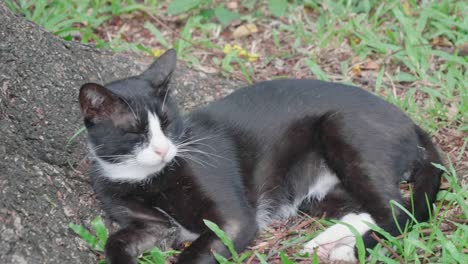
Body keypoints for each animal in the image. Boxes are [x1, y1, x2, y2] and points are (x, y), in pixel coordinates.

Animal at [78, 50, 440, 264]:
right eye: (135, 132)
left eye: (167, 123)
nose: (163, 149)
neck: (146, 179)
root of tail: (411, 123)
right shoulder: (149, 225)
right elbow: (115, 243)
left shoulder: (235, 220)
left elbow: (194, 255)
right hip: (316, 194)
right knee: (369, 208)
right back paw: (328, 244)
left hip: (343, 128)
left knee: (399, 211)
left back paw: (347, 250)